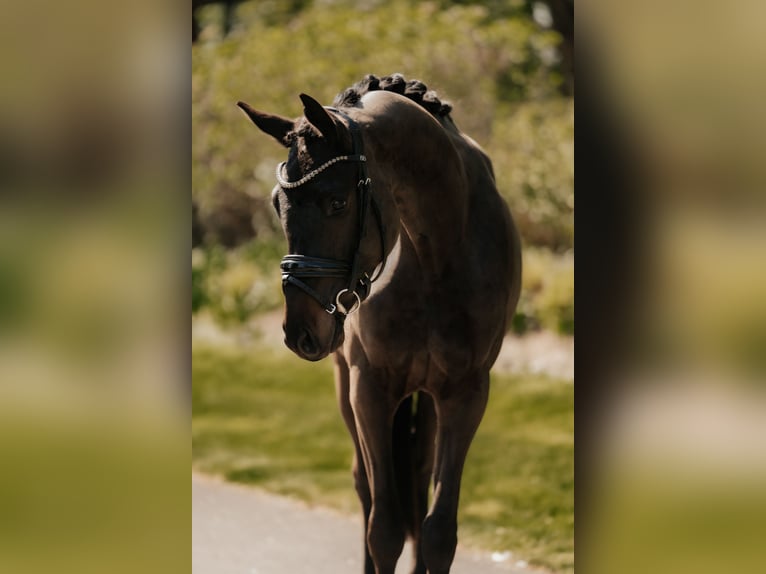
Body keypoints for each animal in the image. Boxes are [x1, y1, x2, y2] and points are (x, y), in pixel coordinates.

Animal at [237, 73, 521, 574]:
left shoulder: (466, 393)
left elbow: (438, 532)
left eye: (337, 201)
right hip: (346, 384)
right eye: (276, 202)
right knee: (366, 489)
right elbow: (383, 528)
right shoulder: (369, 388)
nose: (299, 331)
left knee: (418, 478)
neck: (437, 257)